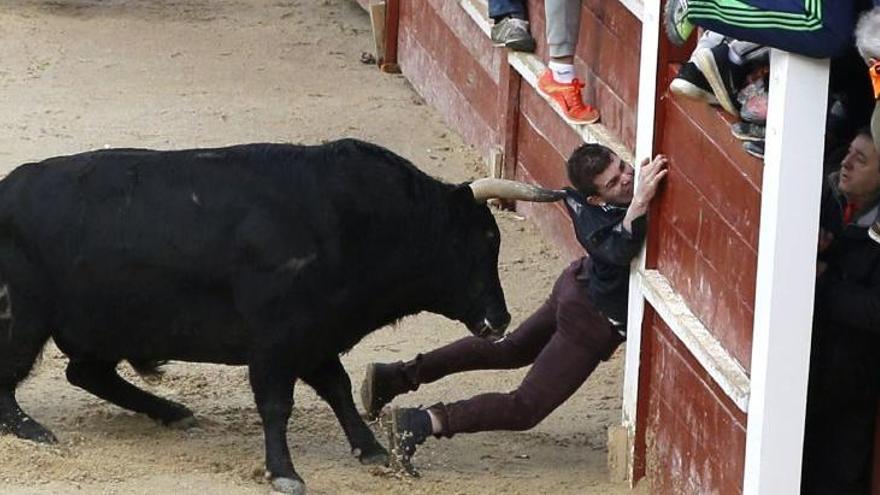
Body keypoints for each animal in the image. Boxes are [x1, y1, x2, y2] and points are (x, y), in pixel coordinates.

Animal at [0, 140, 564, 495]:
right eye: (482, 239)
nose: (499, 319)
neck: (356, 221)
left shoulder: (315, 337)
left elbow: (338, 390)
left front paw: (370, 449)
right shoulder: (275, 343)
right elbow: (277, 405)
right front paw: (284, 472)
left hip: (99, 328)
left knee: (86, 372)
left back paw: (170, 410)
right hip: (23, 319)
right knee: (14, 379)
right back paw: (34, 430)